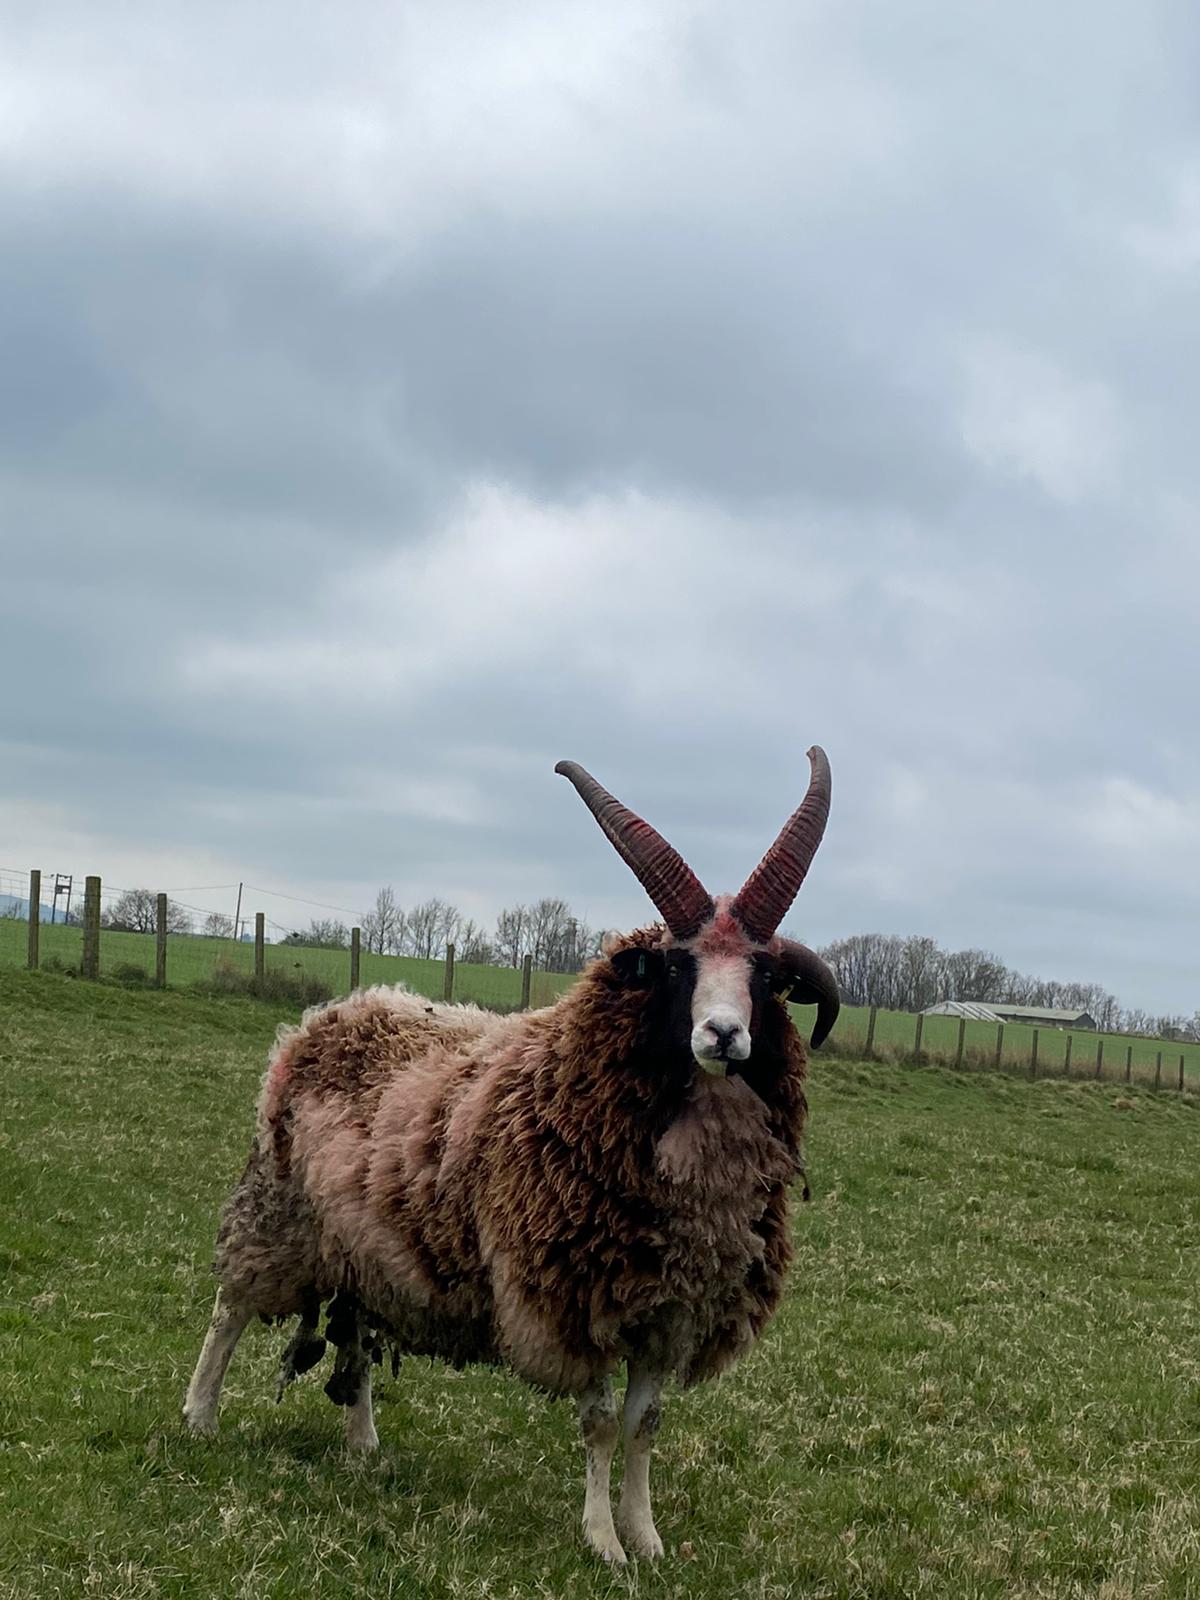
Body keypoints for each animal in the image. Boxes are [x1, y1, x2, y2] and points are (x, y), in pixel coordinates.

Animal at [183, 748, 840, 1564]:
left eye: (764, 975)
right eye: (676, 969)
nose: (723, 1035)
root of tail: (333, 1011)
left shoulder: (669, 1310)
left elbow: (644, 1428)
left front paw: (647, 1539)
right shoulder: (571, 1298)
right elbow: (599, 1426)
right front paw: (602, 1543)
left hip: (364, 1242)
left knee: (357, 1330)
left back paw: (364, 1446)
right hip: (279, 1212)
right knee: (230, 1307)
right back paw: (201, 1417)